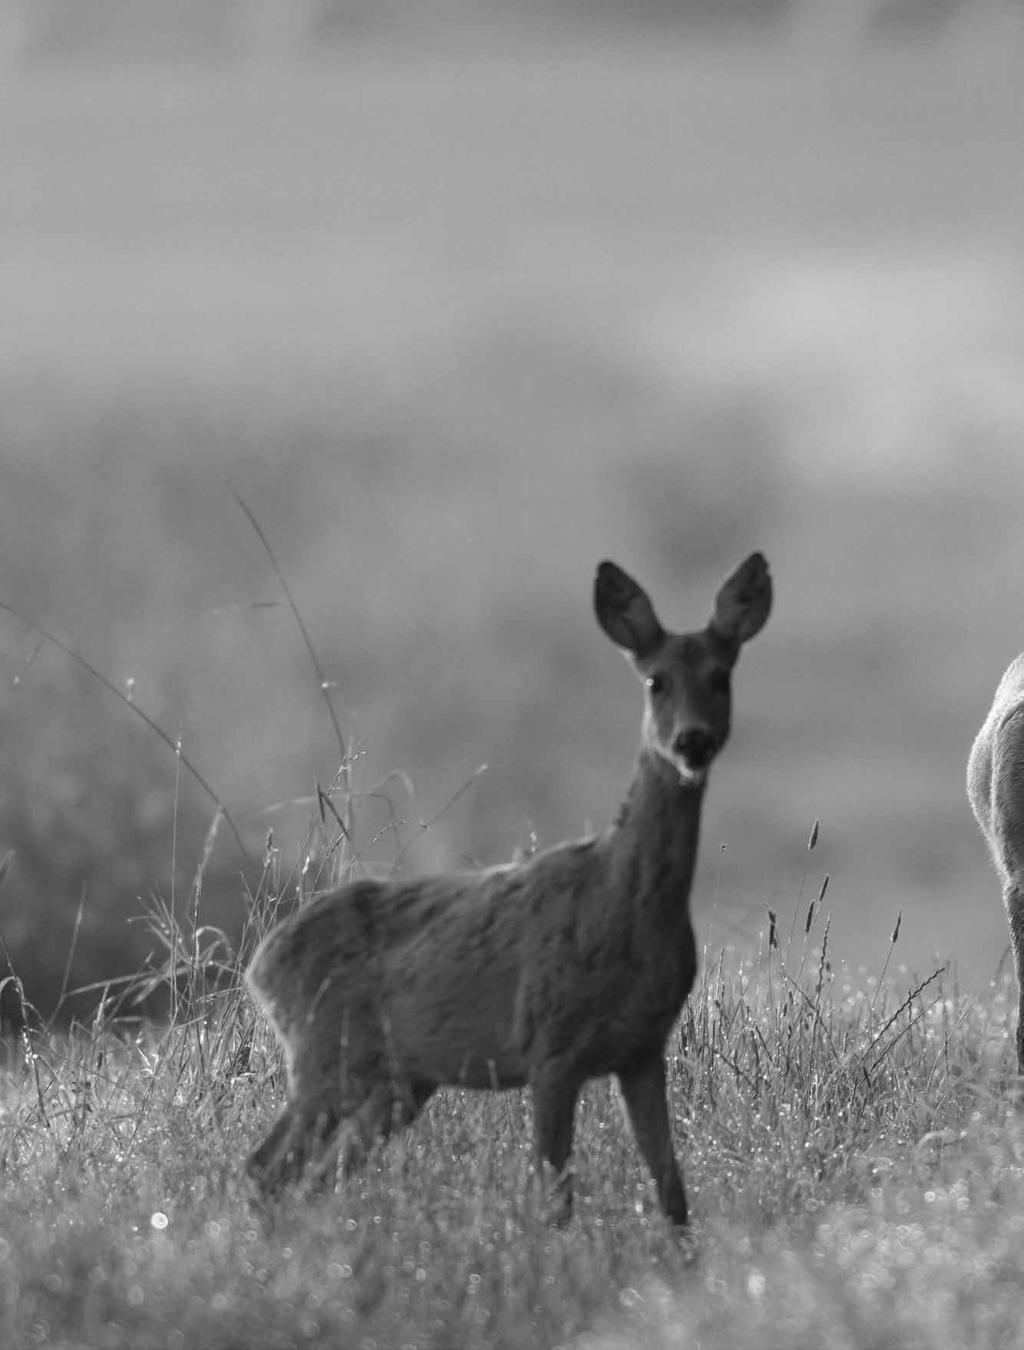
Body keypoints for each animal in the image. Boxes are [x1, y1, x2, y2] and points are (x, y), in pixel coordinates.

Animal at [244, 548, 771, 1225]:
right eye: (655, 680)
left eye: (721, 676)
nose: (692, 741)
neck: (621, 902)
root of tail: (261, 964)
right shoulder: (550, 1045)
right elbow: (556, 1196)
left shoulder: (643, 1048)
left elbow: (672, 1192)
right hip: (324, 1055)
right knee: (263, 1168)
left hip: (400, 1082)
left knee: (314, 1177)